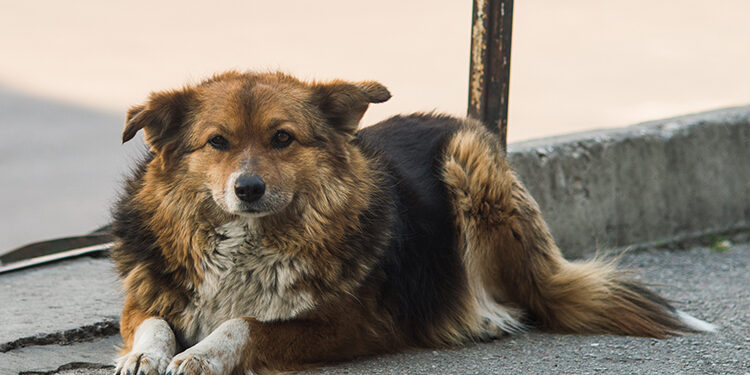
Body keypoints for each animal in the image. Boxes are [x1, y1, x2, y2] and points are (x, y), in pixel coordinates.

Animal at [113, 71, 716, 375]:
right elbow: (154, 321)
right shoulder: (147, 295)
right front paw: (145, 355)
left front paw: (199, 355)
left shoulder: (352, 324)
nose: (248, 189)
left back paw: (482, 314)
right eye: (217, 142)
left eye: (282, 138)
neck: (250, 238)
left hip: (469, 165)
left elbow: (244, 323)